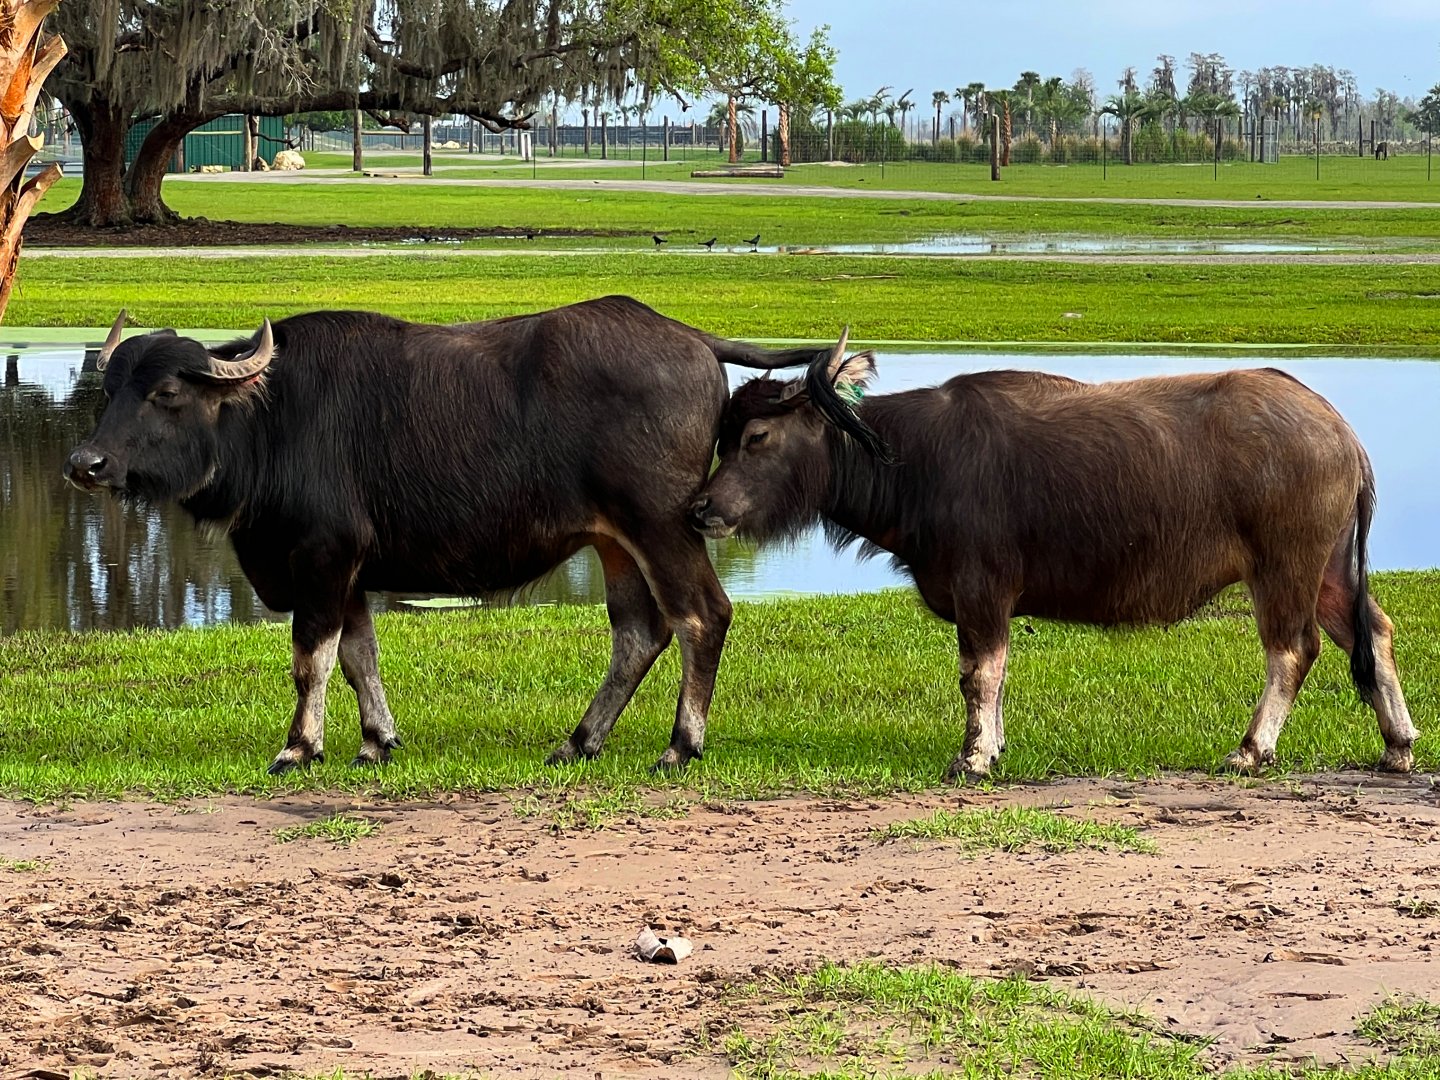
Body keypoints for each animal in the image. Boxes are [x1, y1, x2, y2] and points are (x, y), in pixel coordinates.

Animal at [65, 298, 838, 774]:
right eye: (110, 391)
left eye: (166, 393)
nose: (85, 464)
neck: (268, 421)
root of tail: (690, 337)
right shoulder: (351, 572)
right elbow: (360, 657)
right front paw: (376, 742)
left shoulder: (322, 559)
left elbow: (310, 660)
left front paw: (299, 747)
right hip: (615, 540)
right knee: (638, 631)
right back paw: (579, 741)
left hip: (662, 525)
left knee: (701, 616)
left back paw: (680, 745)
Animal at [690, 335, 1416, 780]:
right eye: (724, 437)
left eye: (757, 437)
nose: (701, 509)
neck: (914, 460)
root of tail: (1341, 432)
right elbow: (994, 674)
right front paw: (993, 745)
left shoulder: (982, 589)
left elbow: (978, 673)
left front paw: (973, 758)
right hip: (1329, 569)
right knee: (1373, 631)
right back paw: (1398, 746)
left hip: (1283, 567)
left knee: (1292, 650)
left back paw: (1250, 750)